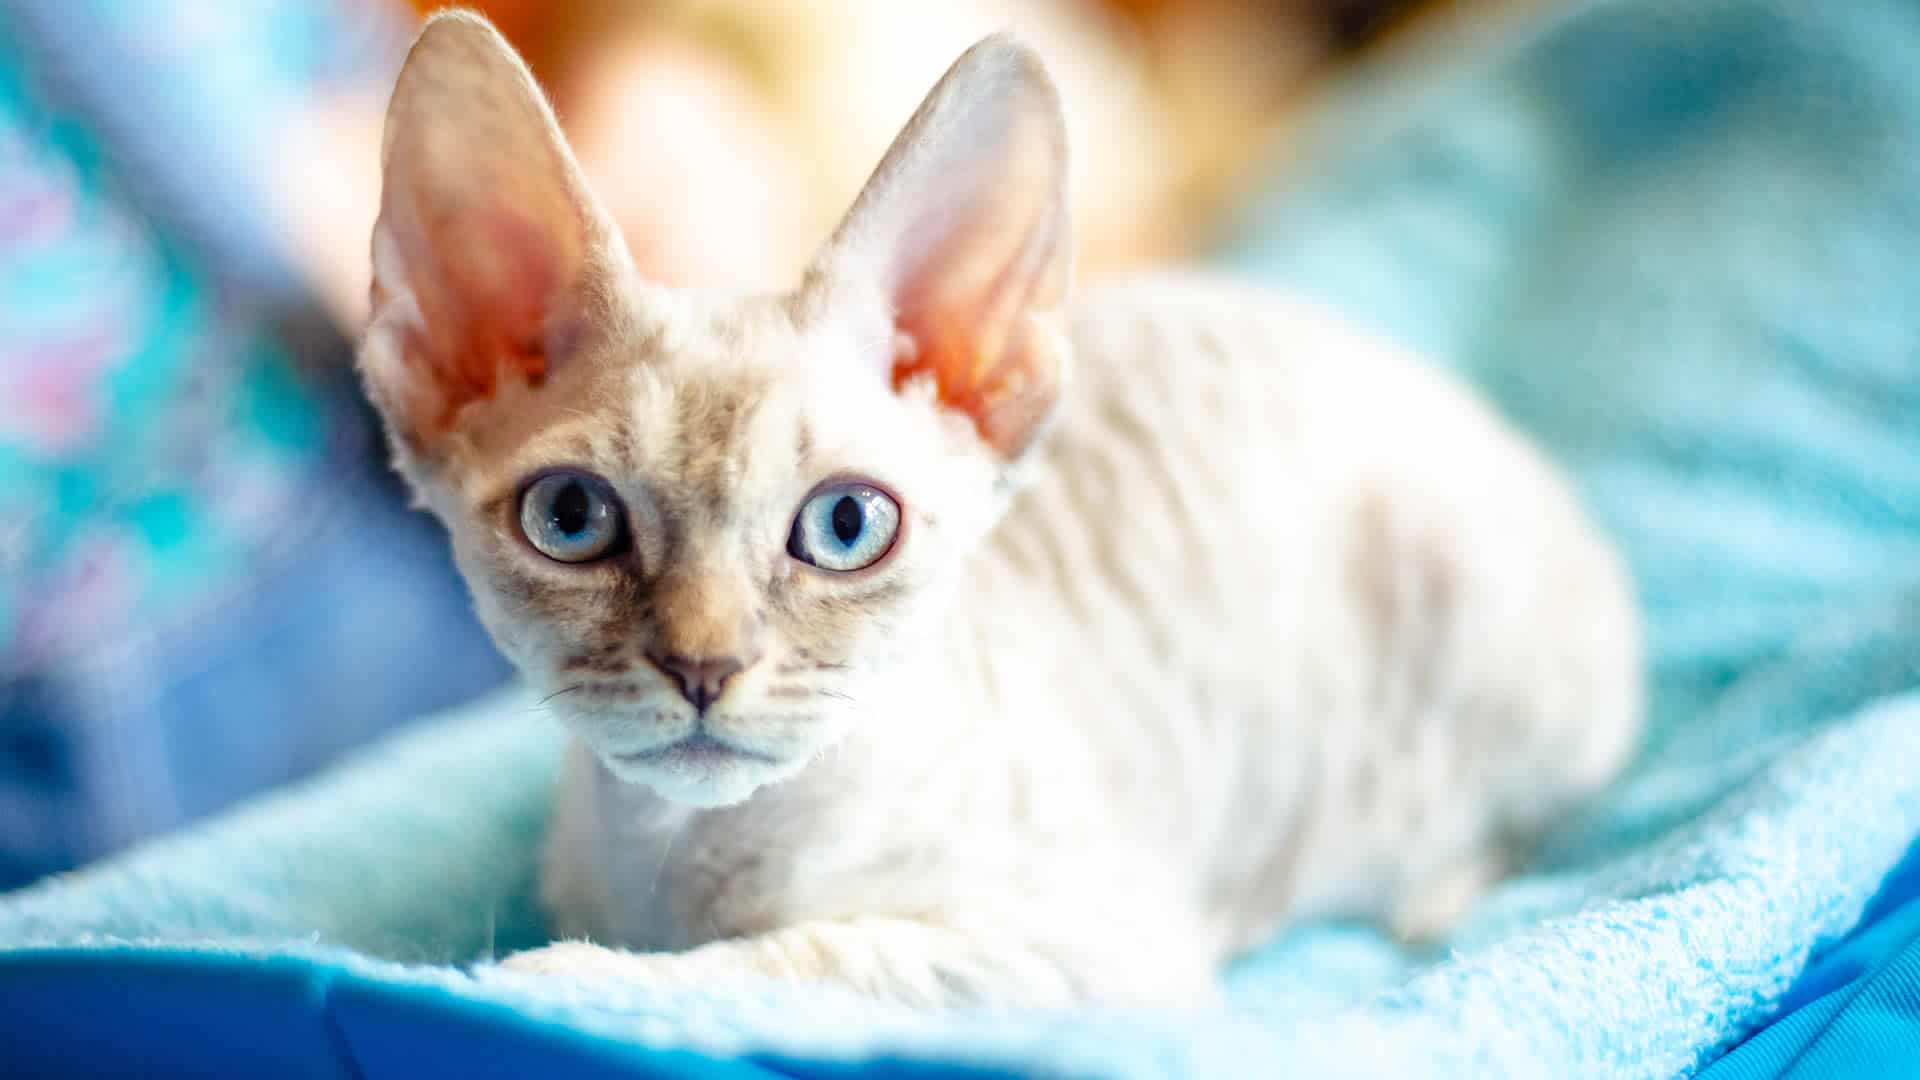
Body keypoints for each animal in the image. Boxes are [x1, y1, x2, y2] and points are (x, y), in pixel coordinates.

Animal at [362, 10, 1651, 1006]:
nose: (704, 668)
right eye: (572, 519)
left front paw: (550, 981)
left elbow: (788, 961)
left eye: (845, 527)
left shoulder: (1092, 951)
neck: (679, 865)